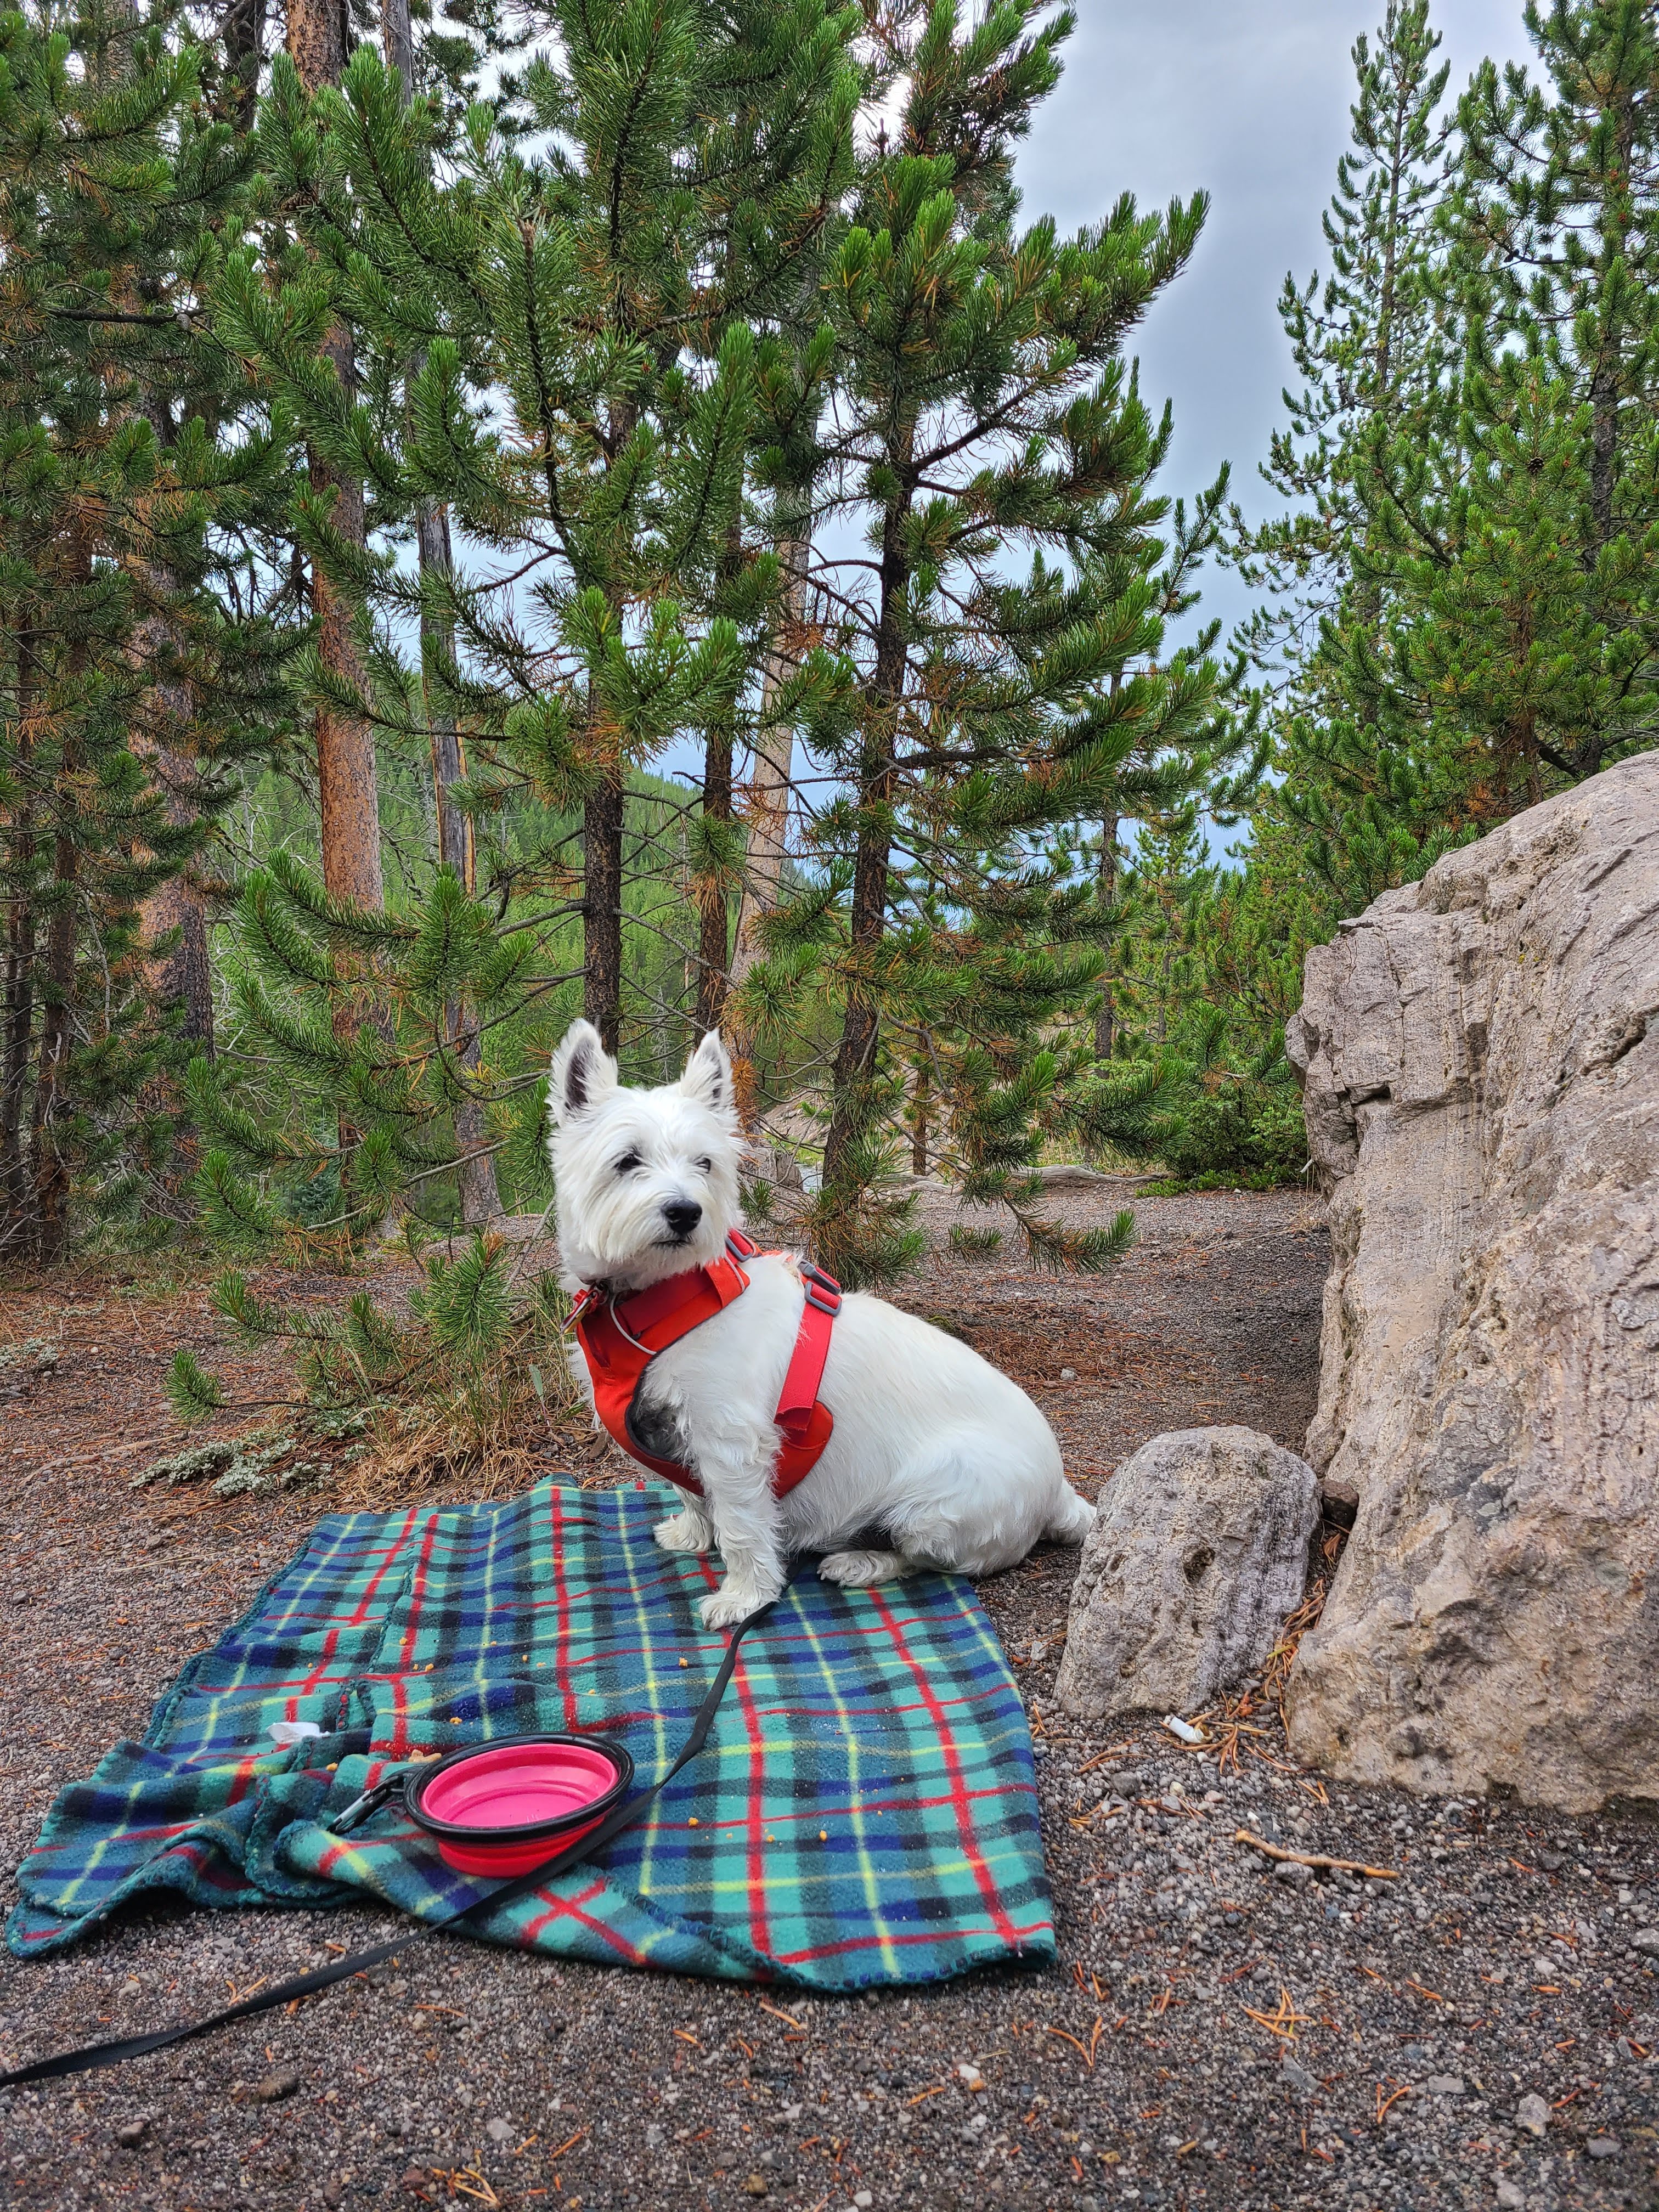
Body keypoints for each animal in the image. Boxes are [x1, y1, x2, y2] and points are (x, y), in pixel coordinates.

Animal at [549, 1020, 1095, 1626]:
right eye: (627, 1160)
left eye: (705, 1163)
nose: (686, 1212)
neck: (656, 1298)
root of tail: (1059, 1491)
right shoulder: (681, 1434)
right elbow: (691, 1492)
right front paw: (691, 1535)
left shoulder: (732, 1441)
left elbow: (741, 1525)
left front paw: (744, 1597)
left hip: (938, 1502)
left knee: (934, 1562)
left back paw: (860, 1561)